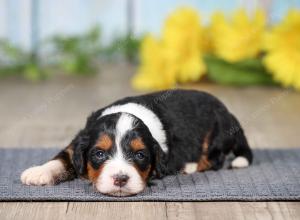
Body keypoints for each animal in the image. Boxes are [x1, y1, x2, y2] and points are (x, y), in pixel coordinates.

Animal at [19, 89, 252, 196]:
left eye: (140, 155)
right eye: (99, 154)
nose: (121, 179)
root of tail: (229, 114)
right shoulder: (78, 142)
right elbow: (61, 158)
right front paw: (38, 172)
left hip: (216, 135)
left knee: (215, 159)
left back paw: (191, 166)